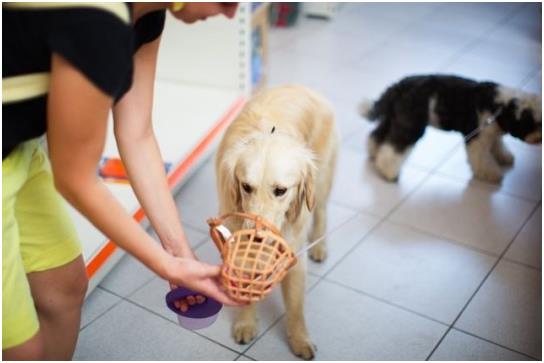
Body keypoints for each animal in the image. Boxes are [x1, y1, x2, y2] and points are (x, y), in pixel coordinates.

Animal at [215, 85, 338, 362]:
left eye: (280, 190)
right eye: (246, 186)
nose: (256, 236)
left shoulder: (294, 252)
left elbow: (296, 306)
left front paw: (300, 339)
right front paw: (246, 324)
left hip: (321, 181)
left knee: (322, 211)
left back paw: (320, 247)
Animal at [360, 75, 540, 183]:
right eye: (532, 124)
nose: (539, 139)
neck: (500, 106)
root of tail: (399, 86)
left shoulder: (492, 132)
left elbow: (497, 144)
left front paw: (504, 156)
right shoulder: (477, 136)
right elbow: (481, 157)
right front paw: (491, 173)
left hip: (394, 119)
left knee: (377, 136)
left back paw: (374, 154)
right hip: (411, 125)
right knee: (393, 150)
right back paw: (388, 171)